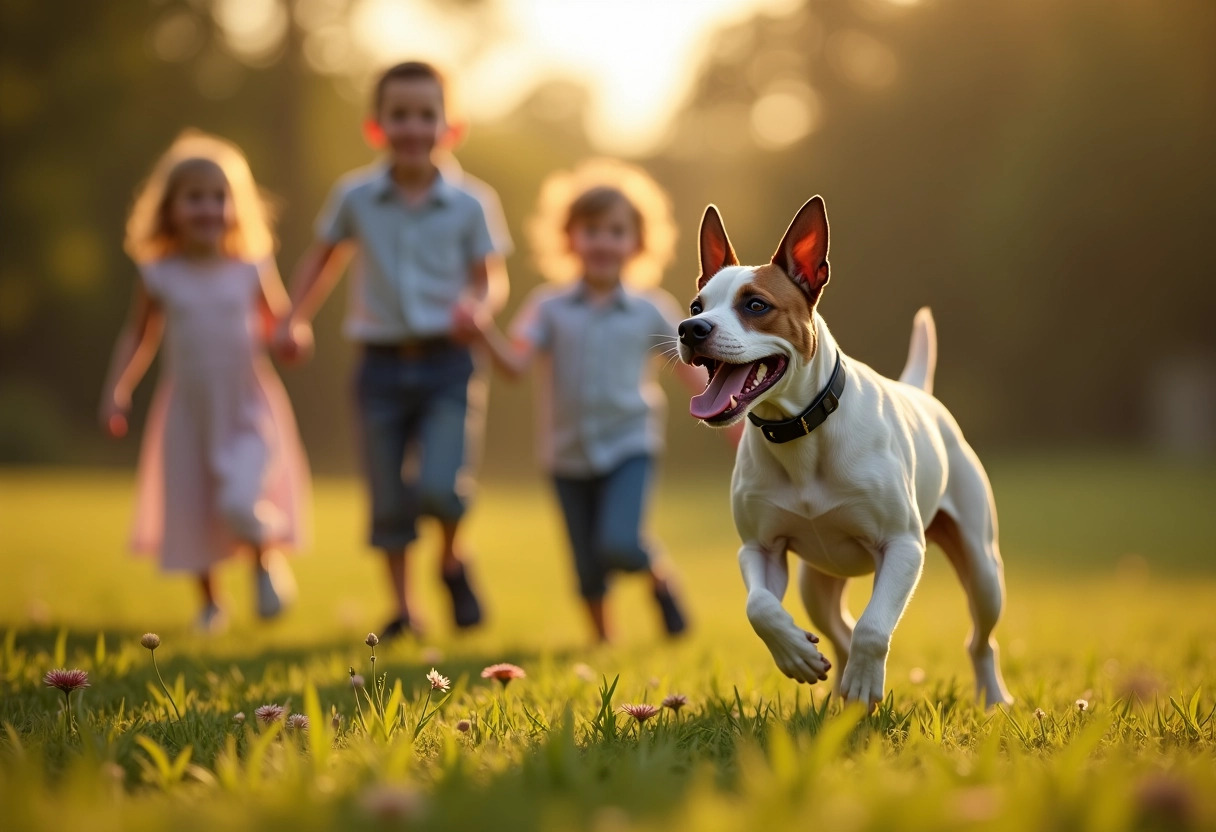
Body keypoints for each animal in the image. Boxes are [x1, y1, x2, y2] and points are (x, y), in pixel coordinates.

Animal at [680, 197, 1011, 710]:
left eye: (756, 305)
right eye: (698, 305)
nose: (690, 328)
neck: (800, 432)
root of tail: (921, 393)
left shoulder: (902, 546)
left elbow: (875, 627)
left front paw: (864, 682)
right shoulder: (760, 548)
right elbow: (759, 607)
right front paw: (795, 654)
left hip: (982, 569)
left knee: (979, 639)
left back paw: (993, 697)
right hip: (816, 582)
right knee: (839, 631)